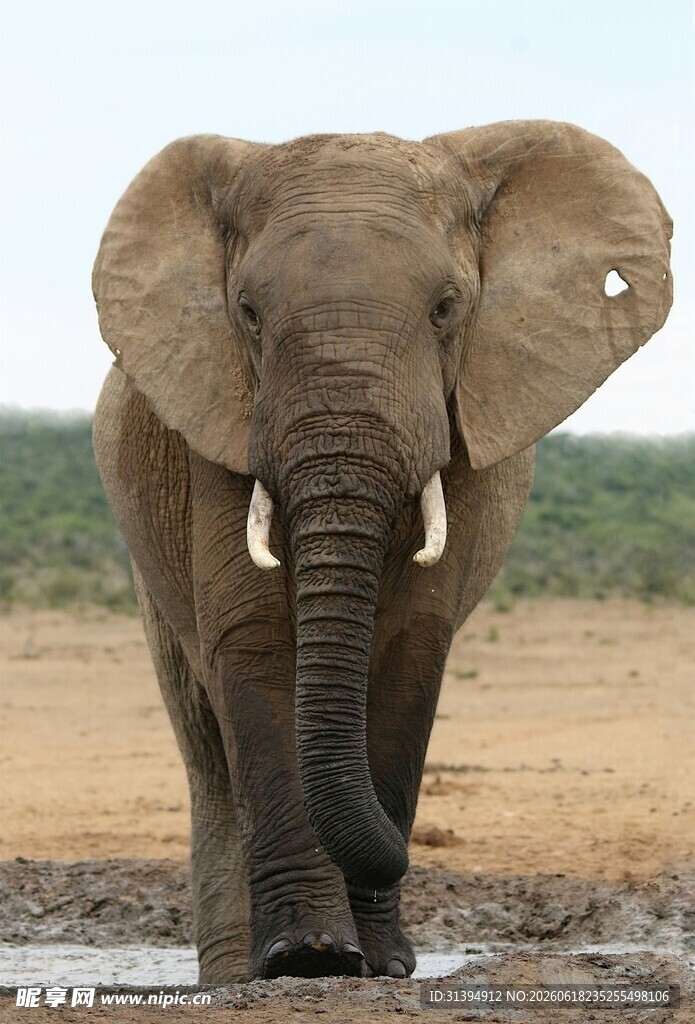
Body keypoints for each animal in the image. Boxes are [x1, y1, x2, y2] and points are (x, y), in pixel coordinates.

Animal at [91, 121, 672, 983]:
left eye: (445, 309)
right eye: (247, 314)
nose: (408, 854)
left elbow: (408, 649)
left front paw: (382, 962)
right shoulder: (218, 420)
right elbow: (253, 640)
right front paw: (309, 958)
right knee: (204, 741)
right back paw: (231, 976)